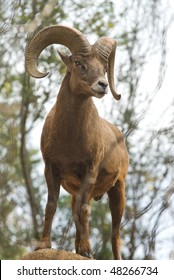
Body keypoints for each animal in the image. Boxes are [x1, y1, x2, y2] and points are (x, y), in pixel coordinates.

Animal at [25, 25, 129, 260]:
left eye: (103, 68)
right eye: (79, 63)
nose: (102, 85)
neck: (69, 140)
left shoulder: (89, 171)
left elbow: (84, 210)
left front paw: (87, 250)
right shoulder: (51, 169)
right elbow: (51, 205)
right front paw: (43, 245)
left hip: (118, 190)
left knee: (116, 234)